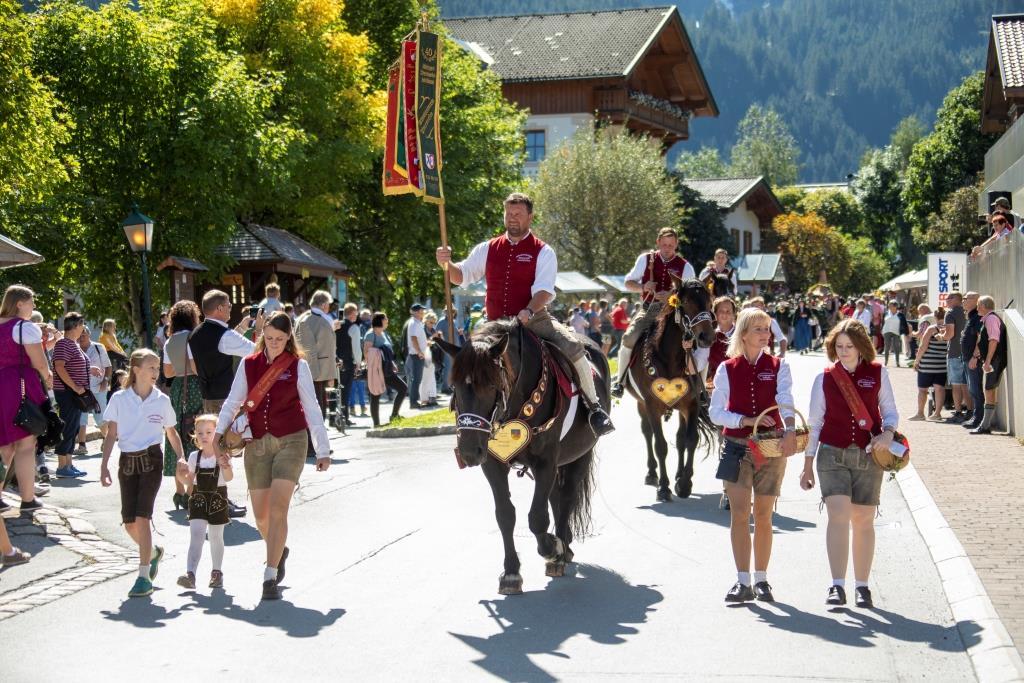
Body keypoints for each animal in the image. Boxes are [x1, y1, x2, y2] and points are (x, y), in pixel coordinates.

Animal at [437, 320, 610, 595]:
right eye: (454, 386)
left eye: (491, 386)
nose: (468, 451)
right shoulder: (493, 464)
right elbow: (505, 515)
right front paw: (511, 572)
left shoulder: (546, 463)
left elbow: (537, 518)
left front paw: (552, 549)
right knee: (556, 498)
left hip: (580, 456)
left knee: (567, 497)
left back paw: (562, 549)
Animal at [623, 277, 717, 502]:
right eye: (688, 302)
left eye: (710, 303)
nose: (707, 337)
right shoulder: (651, 405)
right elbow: (660, 445)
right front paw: (664, 488)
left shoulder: (691, 404)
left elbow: (690, 440)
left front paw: (684, 483)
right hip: (641, 404)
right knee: (647, 433)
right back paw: (652, 473)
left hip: (681, 407)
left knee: (680, 439)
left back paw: (678, 476)